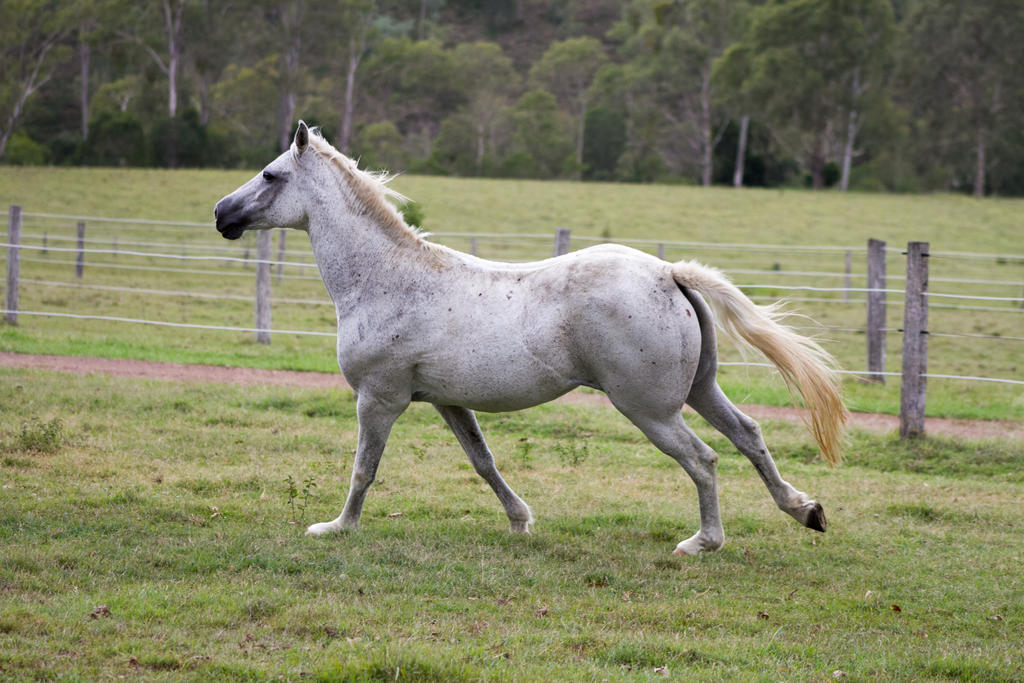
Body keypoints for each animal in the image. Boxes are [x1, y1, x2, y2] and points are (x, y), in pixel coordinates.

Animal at [211, 122, 843, 557]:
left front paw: (336, 528)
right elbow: (484, 463)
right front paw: (521, 520)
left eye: (270, 175)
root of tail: (667, 273)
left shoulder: (379, 399)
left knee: (704, 458)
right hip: (698, 391)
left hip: (651, 409)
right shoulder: (446, 401)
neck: (387, 279)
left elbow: (364, 469)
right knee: (749, 436)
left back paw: (702, 543)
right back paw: (805, 510)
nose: (221, 214)